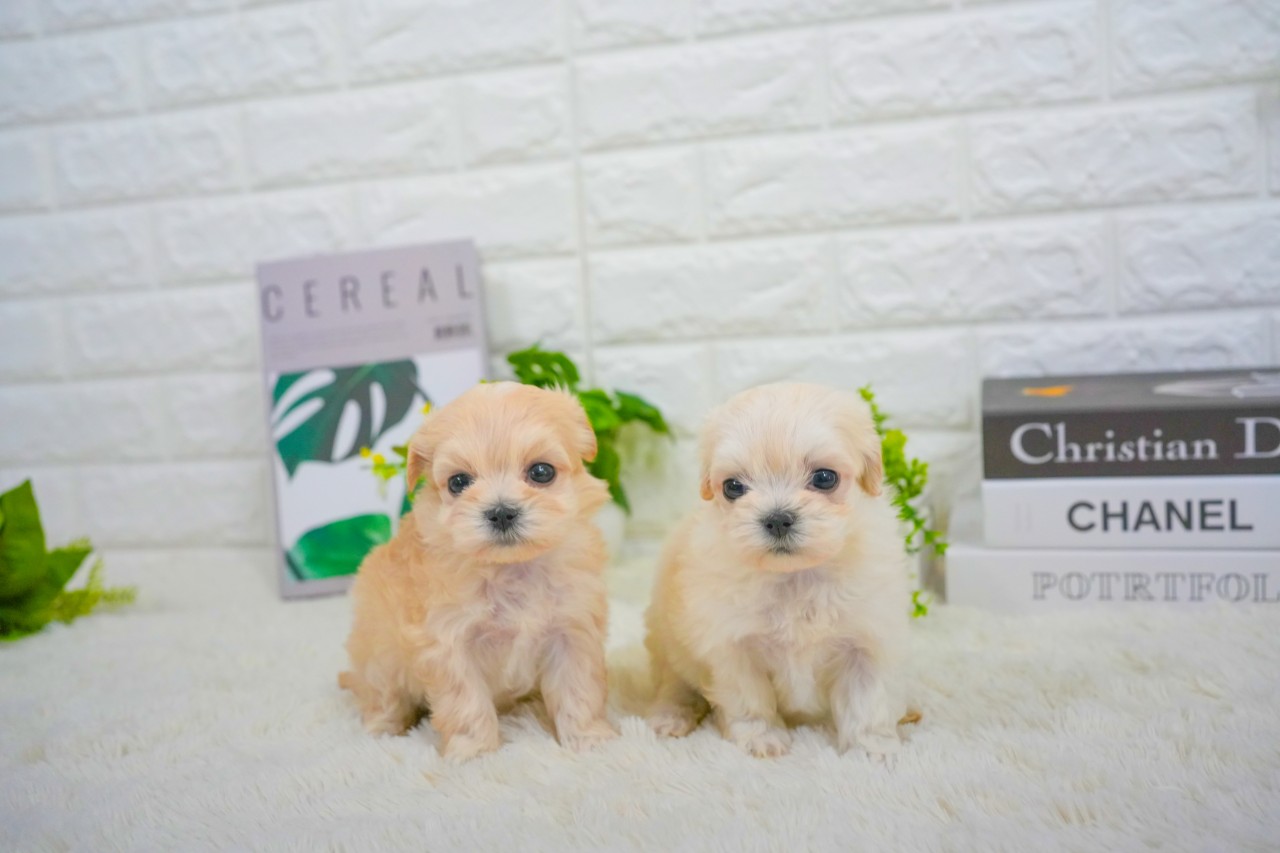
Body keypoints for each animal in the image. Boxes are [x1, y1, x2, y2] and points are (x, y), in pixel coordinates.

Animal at [339, 382, 618, 761]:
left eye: (541, 472)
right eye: (458, 482)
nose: (501, 512)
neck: (511, 568)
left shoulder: (572, 630)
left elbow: (579, 690)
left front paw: (589, 740)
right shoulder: (450, 643)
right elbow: (466, 703)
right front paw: (475, 753)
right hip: (378, 654)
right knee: (382, 694)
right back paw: (383, 728)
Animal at [644, 382, 911, 758]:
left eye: (825, 478)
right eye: (733, 487)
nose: (777, 518)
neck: (796, 575)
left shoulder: (866, 642)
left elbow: (868, 702)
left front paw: (872, 748)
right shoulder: (733, 647)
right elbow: (750, 700)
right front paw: (763, 738)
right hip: (668, 642)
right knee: (674, 683)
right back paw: (670, 717)